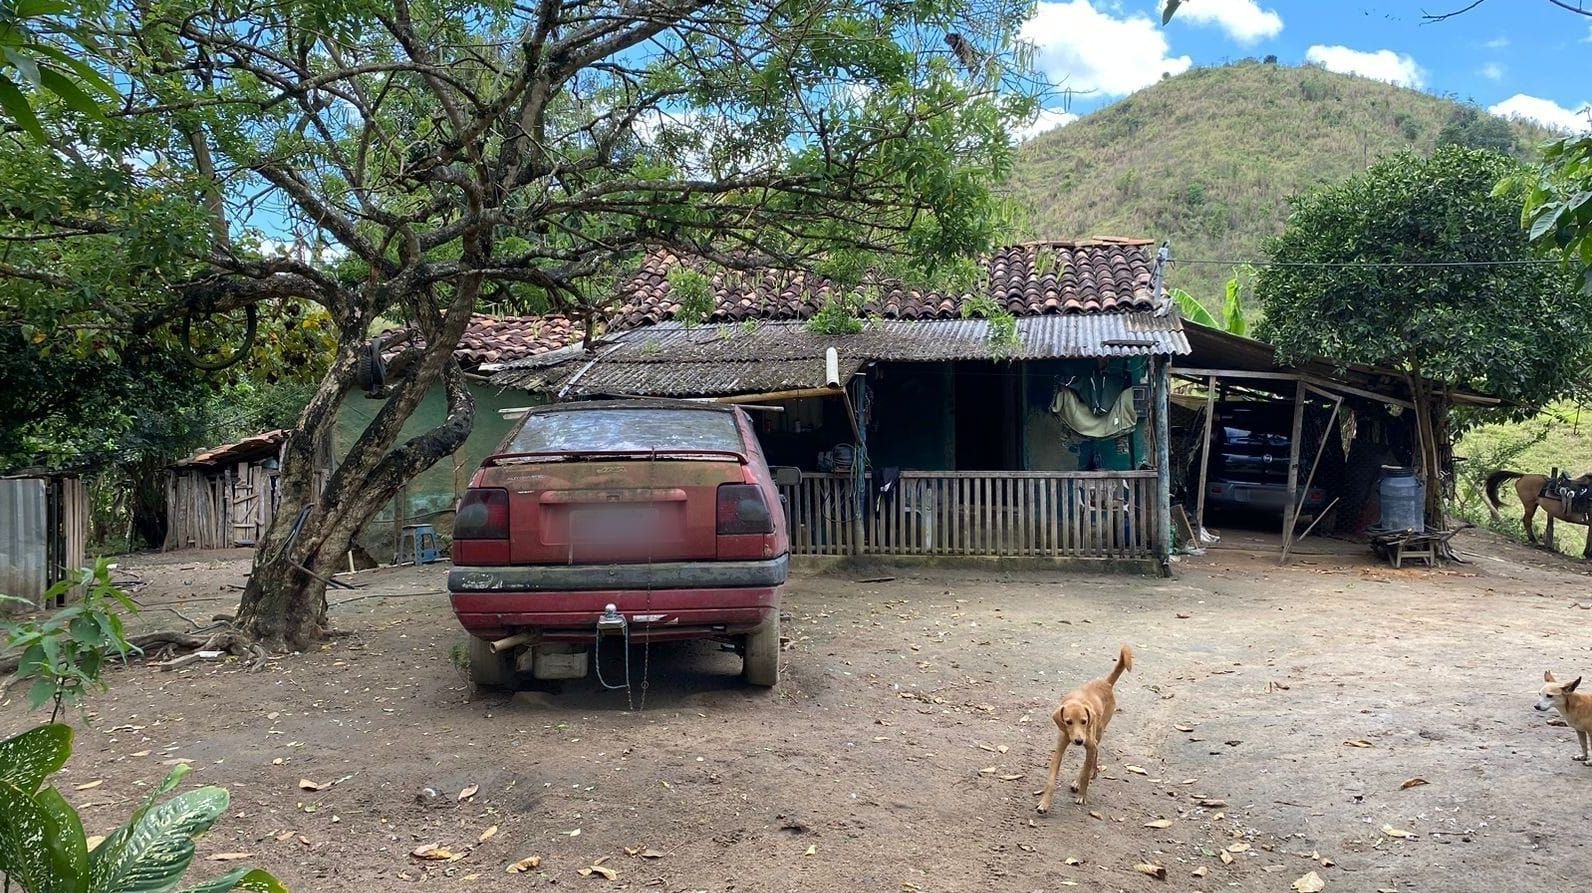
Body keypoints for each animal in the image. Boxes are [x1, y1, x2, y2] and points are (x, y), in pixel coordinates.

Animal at [1037, 643, 1127, 811]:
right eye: (1068, 722)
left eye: (1084, 721)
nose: (1079, 741)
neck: (1076, 700)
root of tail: (1106, 683)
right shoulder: (1059, 748)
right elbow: (1051, 779)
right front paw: (1044, 803)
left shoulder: (1090, 744)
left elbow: (1085, 771)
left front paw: (1082, 795)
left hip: (1098, 732)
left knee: (1094, 755)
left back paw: (1086, 776)